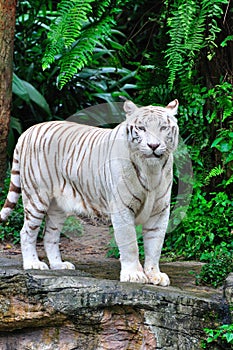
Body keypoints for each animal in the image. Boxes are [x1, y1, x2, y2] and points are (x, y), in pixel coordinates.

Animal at [0, 100, 178, 286]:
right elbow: (130, 244)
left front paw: (155, 275)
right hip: (36, 197)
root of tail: (28, 131)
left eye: (163, 127)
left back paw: (59, 265)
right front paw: (133, 275)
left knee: (50, 235)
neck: (151, 170)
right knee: (27, 232)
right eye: (142, 128)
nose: (153, 146)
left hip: (58, 207)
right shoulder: (122, 208)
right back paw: (33, 264)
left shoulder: (159, 211)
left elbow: (155, 245)